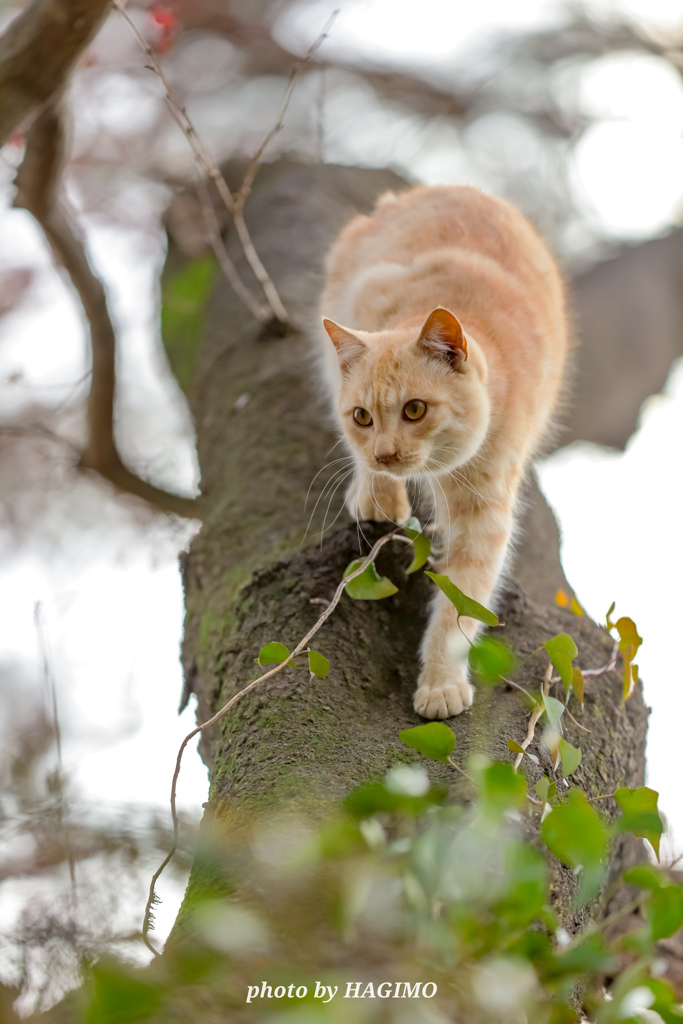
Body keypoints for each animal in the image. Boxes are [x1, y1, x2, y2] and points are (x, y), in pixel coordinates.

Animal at [317, 190, 569, 720]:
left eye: (415, 409)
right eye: (362, 417)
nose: (385, 454)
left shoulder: (484, 514)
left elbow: (460, 607)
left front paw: (440, 683)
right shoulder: (361, 294)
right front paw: (377, 494)